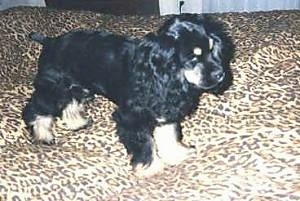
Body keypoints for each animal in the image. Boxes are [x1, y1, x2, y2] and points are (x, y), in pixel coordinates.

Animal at [23, 14, 233, 176]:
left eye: (212, 48)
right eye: (193, 57)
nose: (220, 74)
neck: (157, 70)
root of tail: (51, 41)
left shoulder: (164, 110)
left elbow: (168, 135)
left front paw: (176, 154)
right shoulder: (131, 117)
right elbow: (145, 143)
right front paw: (150, 169)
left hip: (77, 86)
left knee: (69, 103)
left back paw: (77, 123)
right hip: (55, 87)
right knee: (36, 108)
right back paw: (43, 135)